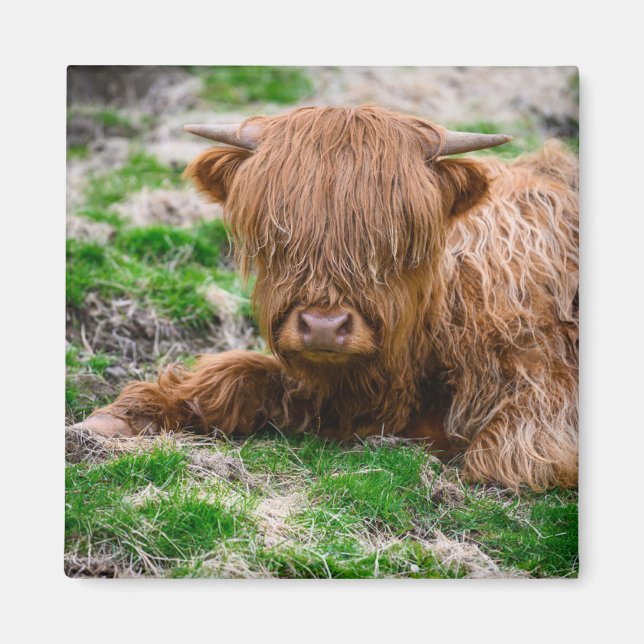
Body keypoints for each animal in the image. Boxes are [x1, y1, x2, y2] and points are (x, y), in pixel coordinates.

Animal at [77, 105, 579, 491]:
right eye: (278, 237)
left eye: (395, 242)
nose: (323, 328)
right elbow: (235, 373)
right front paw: (123, 418)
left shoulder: (542, 400)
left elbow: (501, 460)